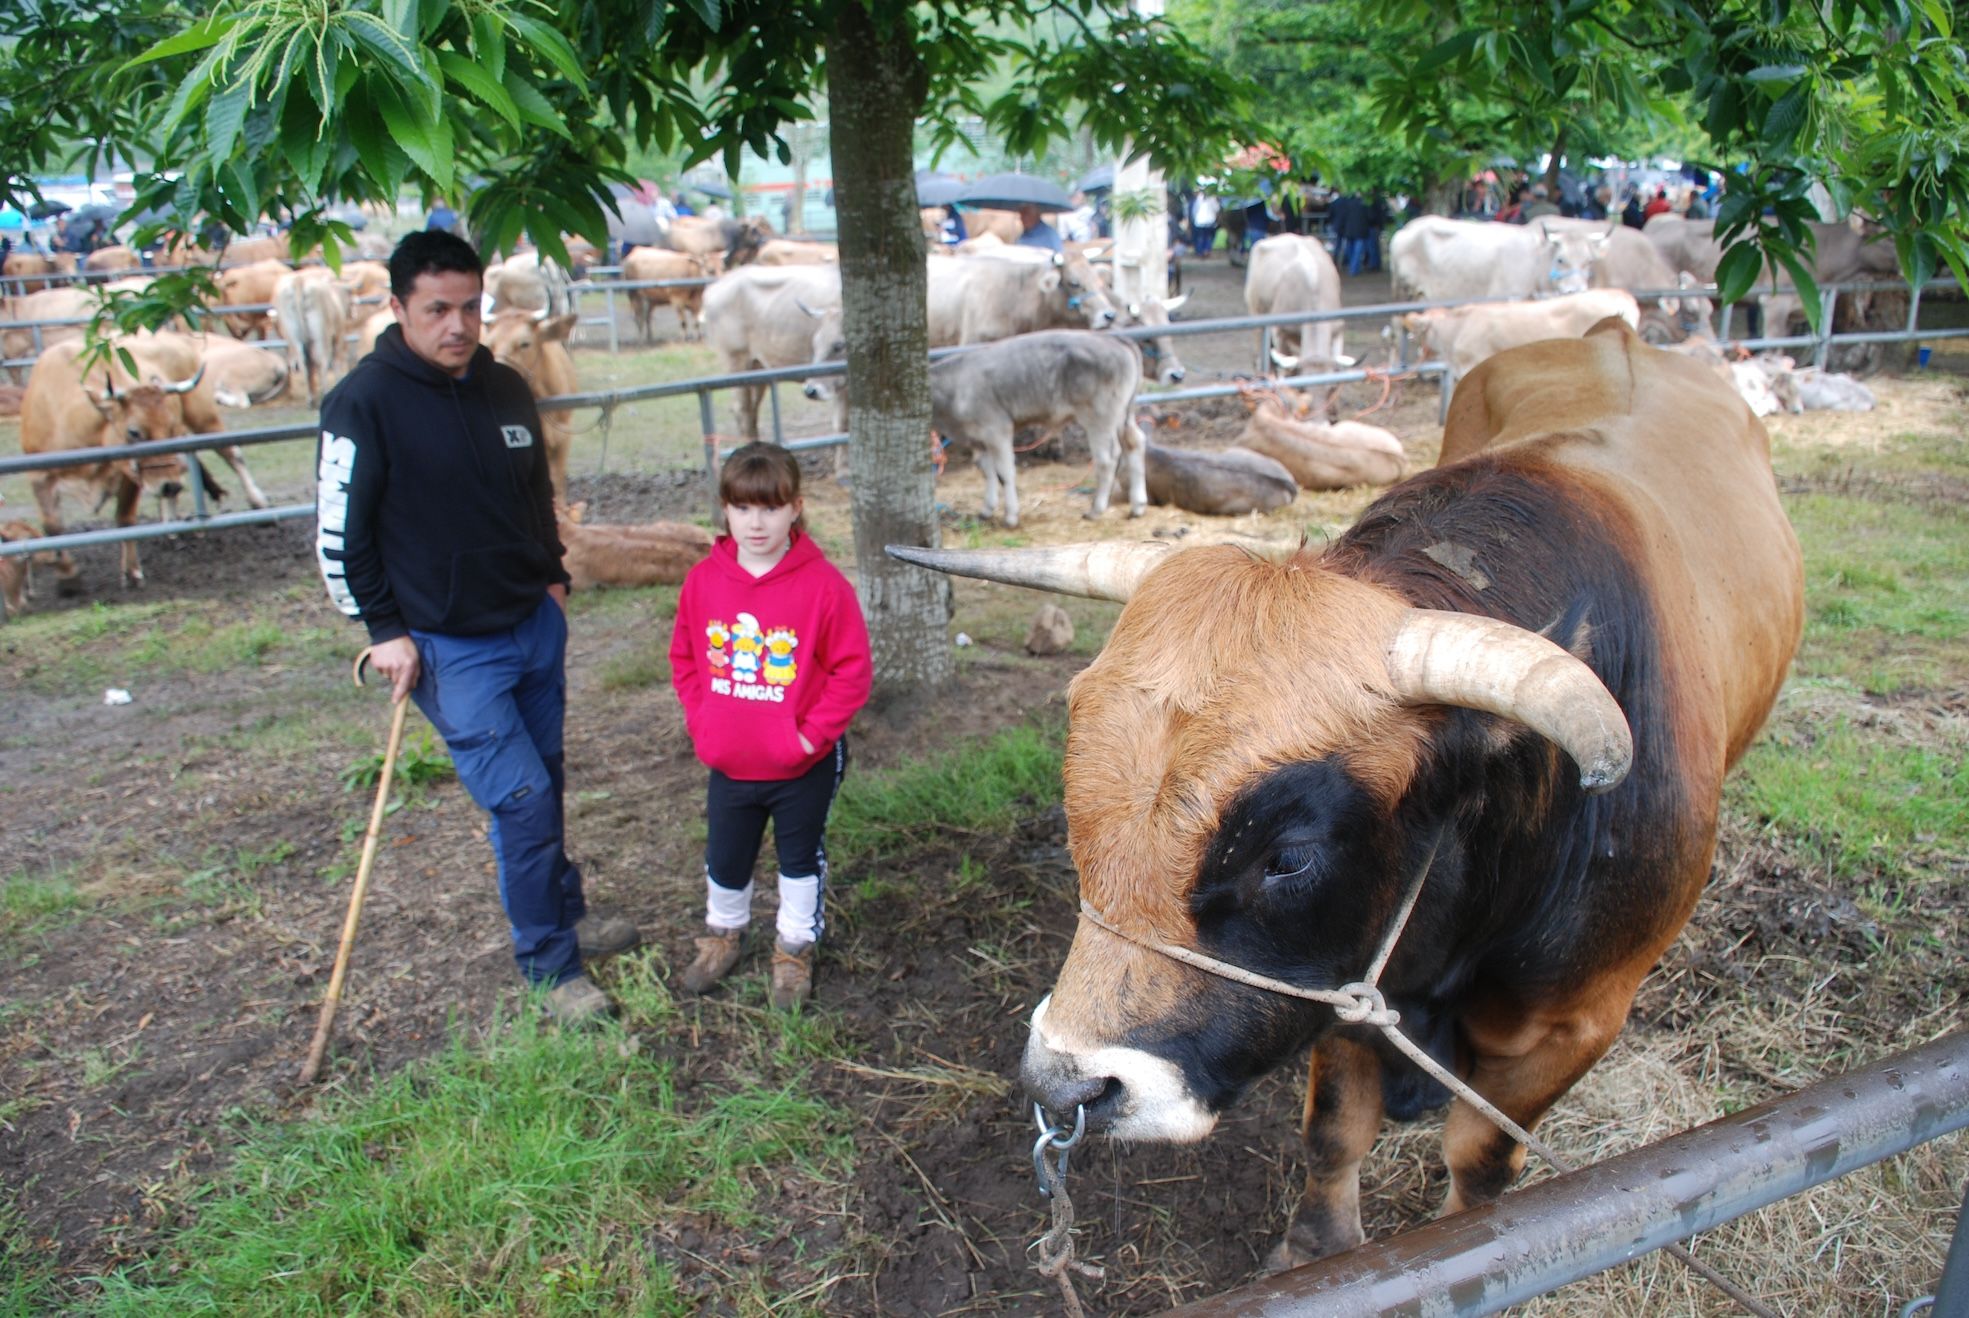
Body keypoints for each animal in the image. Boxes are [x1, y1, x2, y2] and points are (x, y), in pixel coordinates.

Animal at [889, 315, 1803, 1260]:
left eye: (1288, 855)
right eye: (1074, 798)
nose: (1065, 1086)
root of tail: (1613, 329)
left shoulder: (1574, 1024)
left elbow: (1481, 1161)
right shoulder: (1350, 981)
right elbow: (1332, 1129)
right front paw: (1316, 1245)